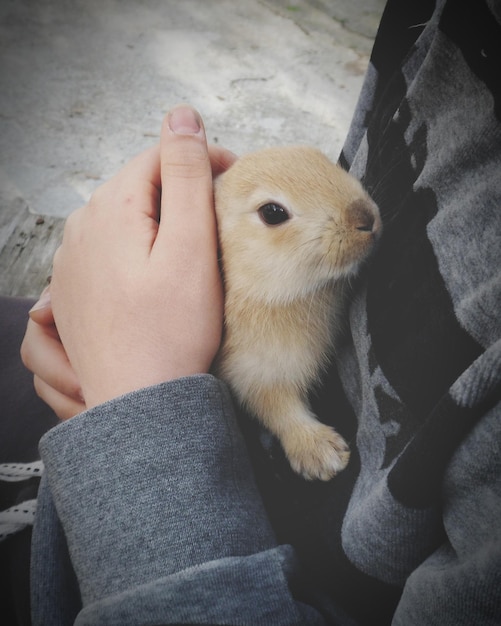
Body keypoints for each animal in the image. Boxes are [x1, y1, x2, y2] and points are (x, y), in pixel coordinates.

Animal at [213, 145, 380, 478]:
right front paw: (323, 454)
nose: (364, 217)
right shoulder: (253, 371)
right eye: (272, 213)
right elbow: (278, 409)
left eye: (318, 156)